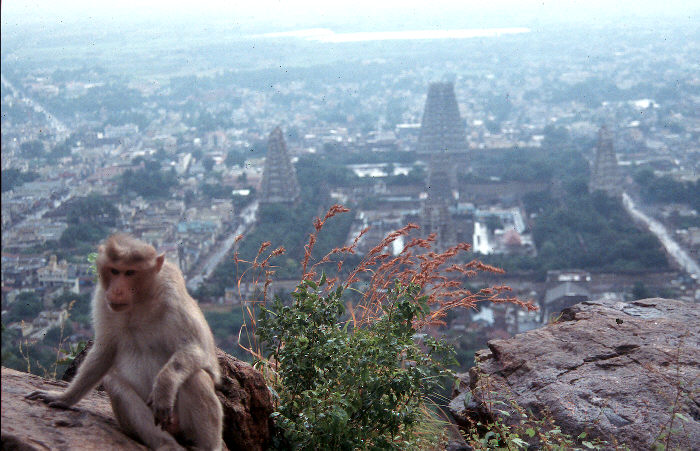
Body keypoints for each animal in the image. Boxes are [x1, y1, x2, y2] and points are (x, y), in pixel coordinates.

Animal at [27, 233, 223, 451]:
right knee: (114, 383)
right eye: (114, 271)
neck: (139, 301)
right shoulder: (102, 299)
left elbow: (198, 348)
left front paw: (164, 385)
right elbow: (104, 351)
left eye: (130, 272)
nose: (117, 291)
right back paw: (166, 444)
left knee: (195, 377)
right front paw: (63, 398)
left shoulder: (173, 293)